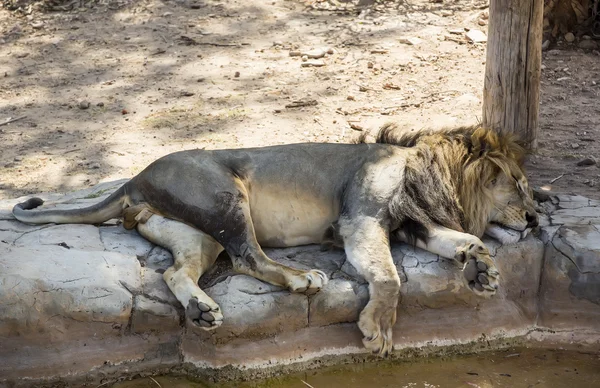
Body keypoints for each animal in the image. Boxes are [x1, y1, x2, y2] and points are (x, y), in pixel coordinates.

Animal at [12, 124, 540, 358]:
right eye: (518, 185)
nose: (537, 219)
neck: (425, 172)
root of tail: (134, 179)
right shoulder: (360, 221)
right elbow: (389, 278)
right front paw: (377, 330)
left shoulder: (410, 223)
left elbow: (463, 237)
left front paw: (482, 268)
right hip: (227, 195)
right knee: (249, 257)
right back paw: (303, 278)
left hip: (196, 235)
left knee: (175, 270)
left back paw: (203, 310)